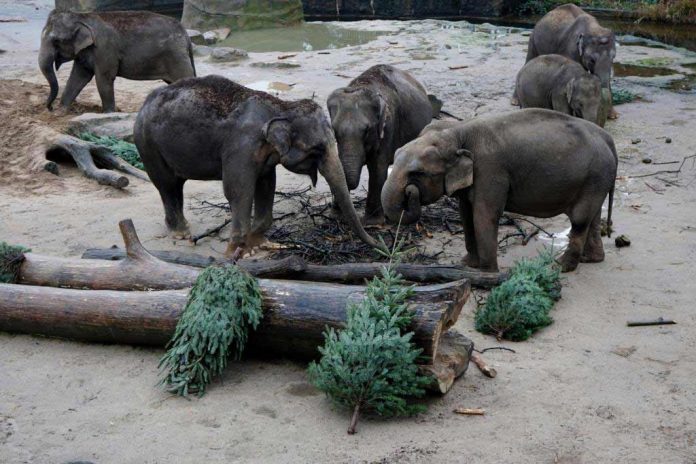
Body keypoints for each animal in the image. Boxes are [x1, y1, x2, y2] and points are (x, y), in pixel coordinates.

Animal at [40, 9, 196, 112]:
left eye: (56, 41)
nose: (50, 108)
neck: (82, 17)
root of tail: (186, 34)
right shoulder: (85, 52)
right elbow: (78, 78)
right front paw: (62, 110)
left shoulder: (105, 49)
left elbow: (103, 79)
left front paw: (108, 113)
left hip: (176, 57)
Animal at [134, 76, 384, 258]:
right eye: (318, 149)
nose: (379, 244)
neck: (281, 107)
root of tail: (144, 103)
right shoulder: (240, 148)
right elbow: (238, 190)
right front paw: (234, 254)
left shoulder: (265, 155)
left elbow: (266, 184)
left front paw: (258, 245)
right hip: (148, 145)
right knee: (167, 185)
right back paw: (180, 233)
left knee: (176, 185)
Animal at [326, 65, 436, 225]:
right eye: (334, 130)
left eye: (367, 130)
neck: (362, 84)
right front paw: (336, 217)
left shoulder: (388, 127)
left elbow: (377, 169)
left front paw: (372, 223)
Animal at [384, 109, 616, 272]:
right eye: (394, 155)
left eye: (417, 173)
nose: (410, 191)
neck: (459, 131)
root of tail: (607, 137)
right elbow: (466, 215)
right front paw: (467, 264)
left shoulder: (490, 170)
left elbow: (484, 215)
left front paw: (486, 274)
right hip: (596, 180)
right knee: (592, 217)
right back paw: (592, 259)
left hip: (594, 176)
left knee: (579, 220)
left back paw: (560, 266)